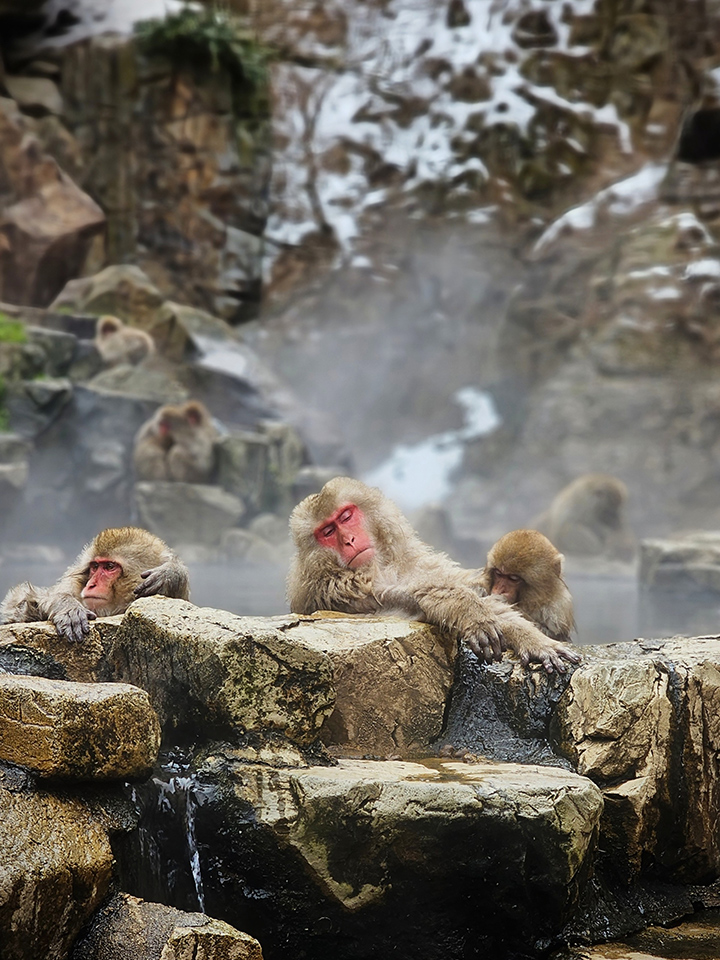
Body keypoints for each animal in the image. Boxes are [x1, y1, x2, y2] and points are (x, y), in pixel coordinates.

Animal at [286, 476, 580, 672]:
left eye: (346, 516)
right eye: (327, 532)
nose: (348, 540)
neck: (383, 563)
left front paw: (531, 639)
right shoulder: (336, 588)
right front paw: (464, 608)